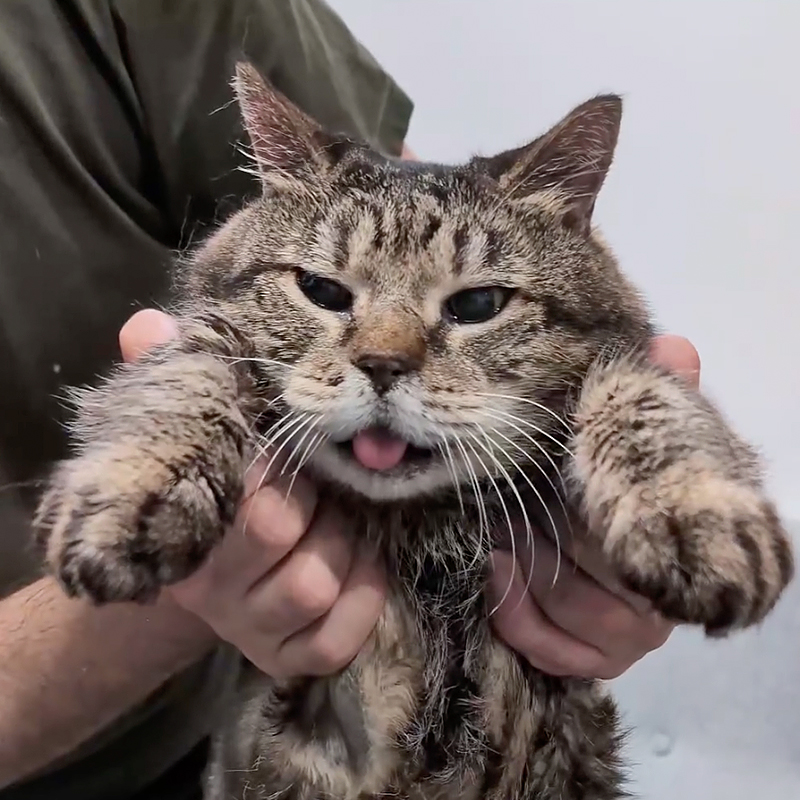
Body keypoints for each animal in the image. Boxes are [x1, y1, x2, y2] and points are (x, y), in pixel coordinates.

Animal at [32, 64, 792, 800]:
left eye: (478, 304)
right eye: (321, 290)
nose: (382, 364)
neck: (421, 527)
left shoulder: (620, 357)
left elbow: (641, 396)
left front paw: (697, 515)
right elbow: (186, 371)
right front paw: (133, 489)